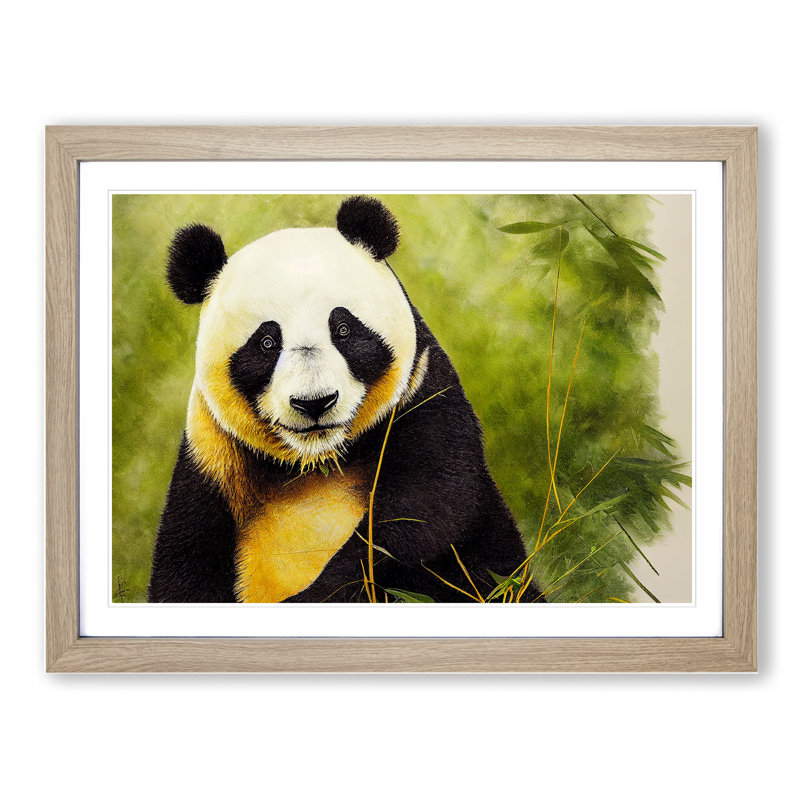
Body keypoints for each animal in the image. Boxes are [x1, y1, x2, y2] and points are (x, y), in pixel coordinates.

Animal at [148, 196, 544, 603]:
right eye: (266, 343)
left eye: (343, 329)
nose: (315, 403)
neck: (318, 463)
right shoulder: (212, 457)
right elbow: (185, 563)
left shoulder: (422, 396)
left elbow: (425, 513)